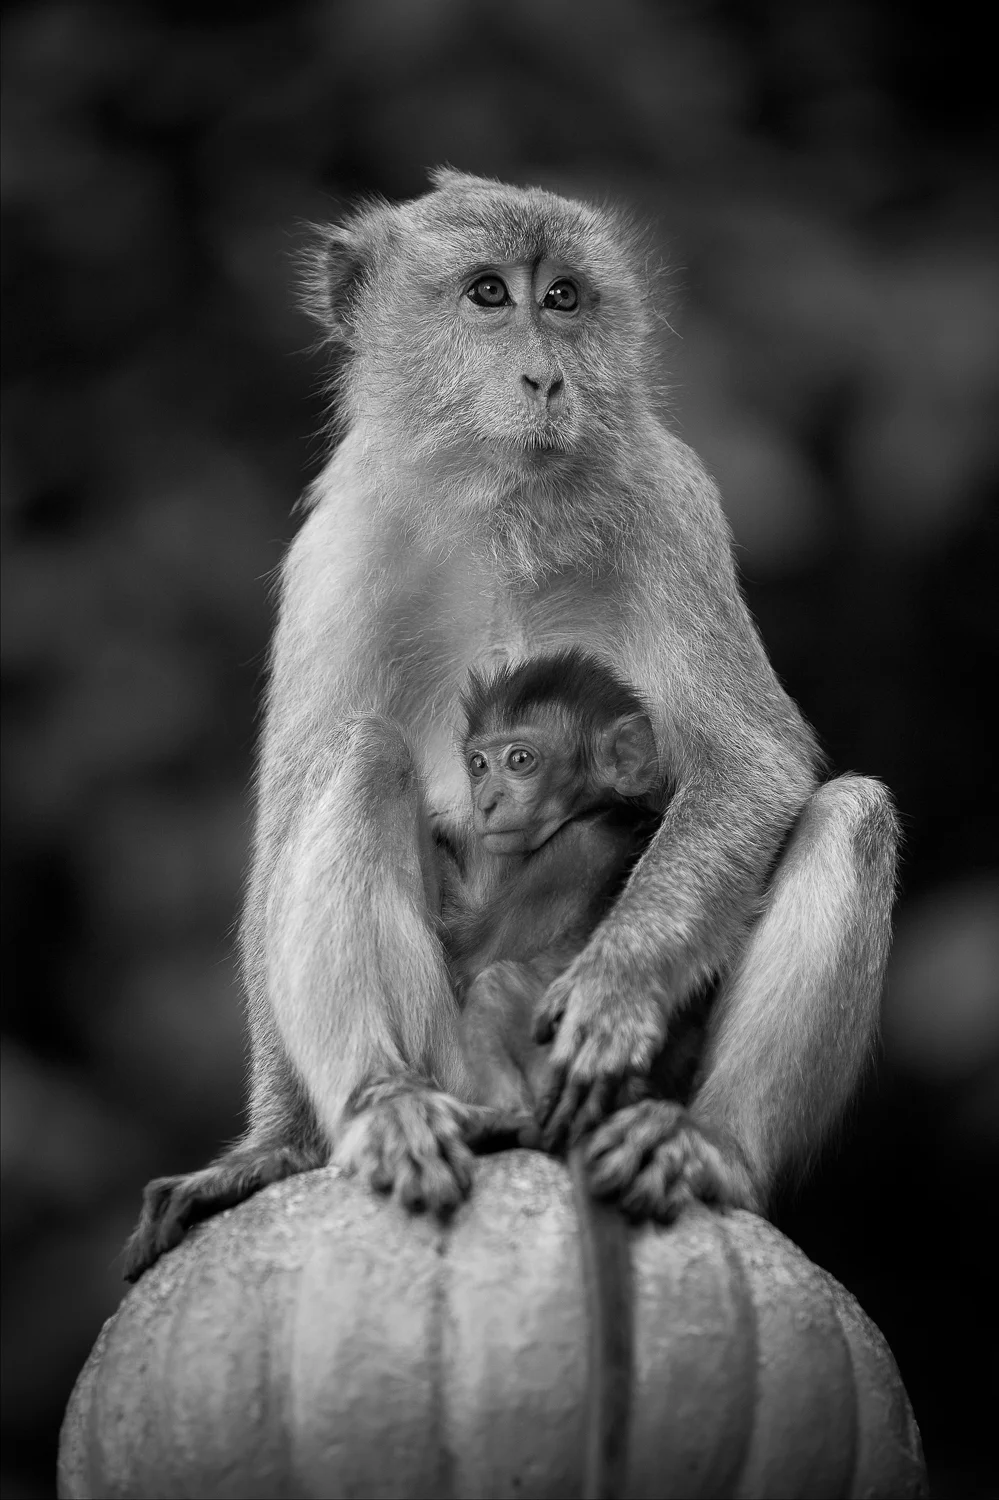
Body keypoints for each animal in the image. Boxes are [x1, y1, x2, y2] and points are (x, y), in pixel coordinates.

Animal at [123, 169, 898, 1282]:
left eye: (564, 298)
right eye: (489, 293)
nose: (546, 377)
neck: (505, 507)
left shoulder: (673, 508)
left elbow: (753, 761)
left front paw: (617, 986)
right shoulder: (336, 548)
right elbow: (283, 821)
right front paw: (272, 1146)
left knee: (852, 815)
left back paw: (707, 1147)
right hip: (455, 1057)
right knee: (357, 756)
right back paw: (383, 1107)